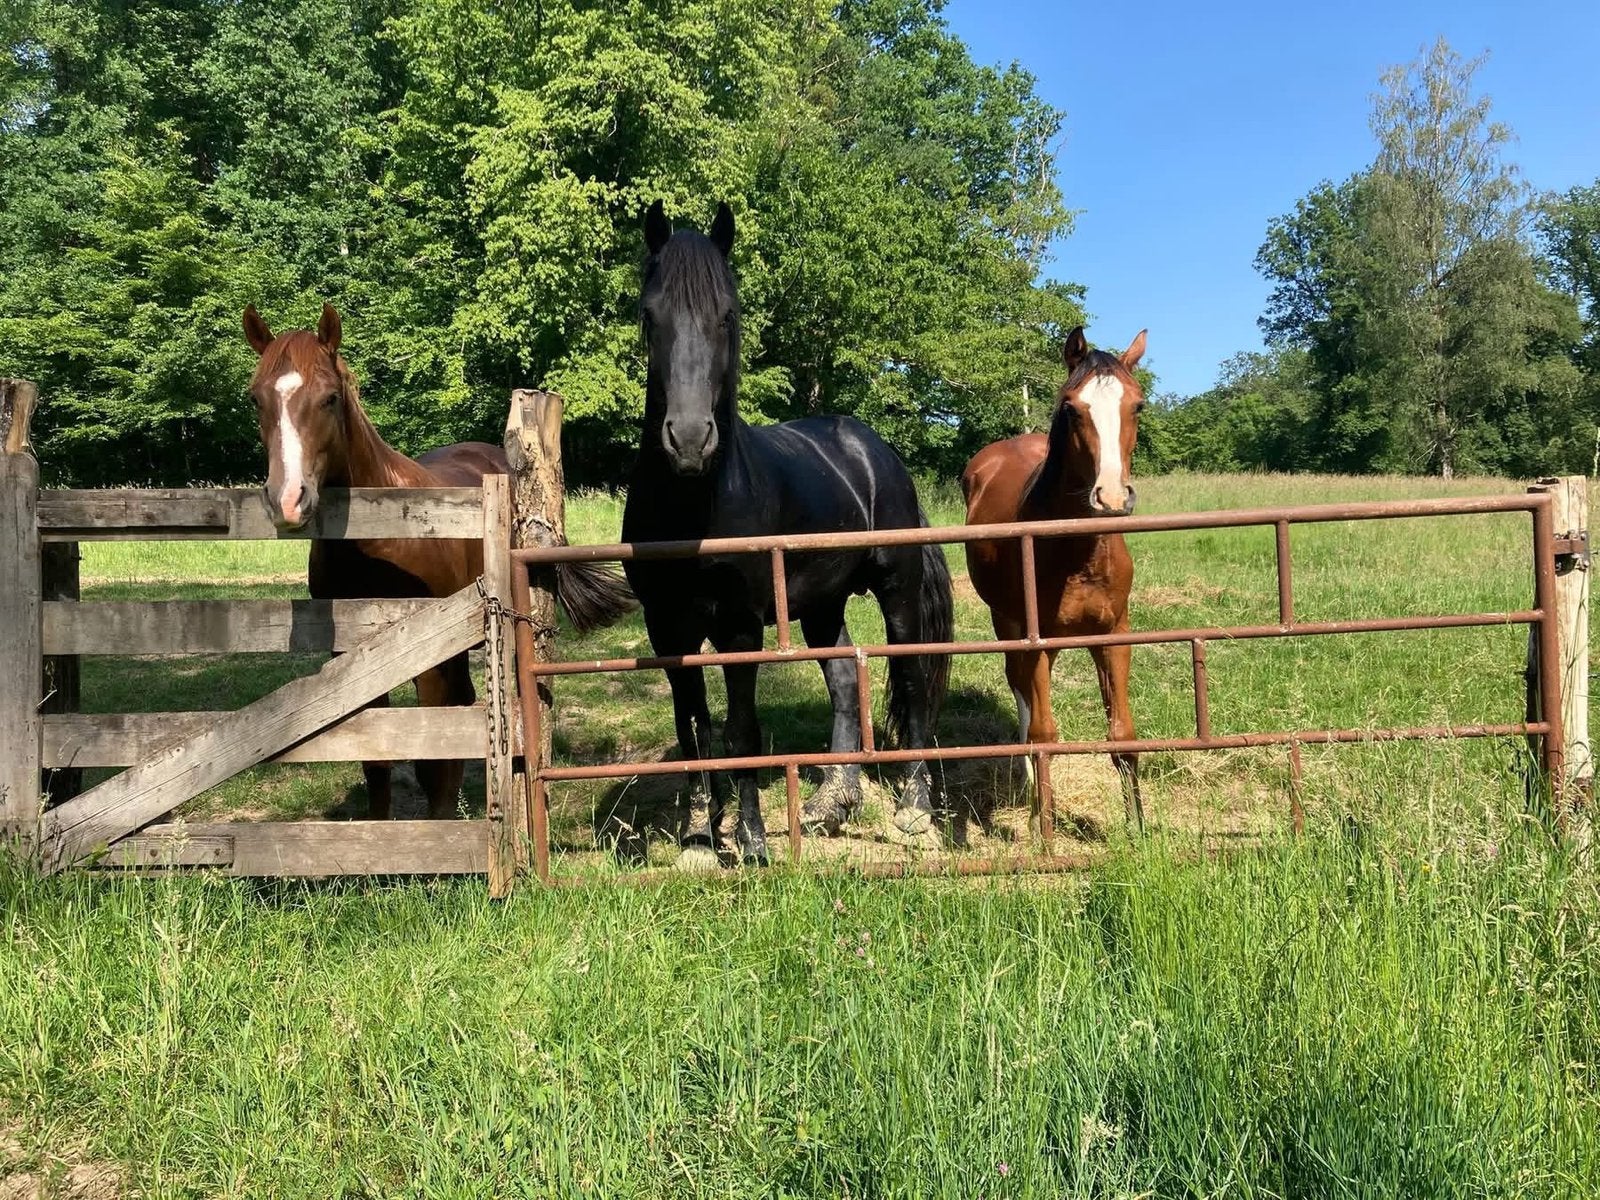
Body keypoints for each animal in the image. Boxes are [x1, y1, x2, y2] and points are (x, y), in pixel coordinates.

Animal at [241, 303, 634, 817]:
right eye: (256, 400)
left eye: (329, 398)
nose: (287, 500)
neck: (381, 541)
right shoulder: (351, 659)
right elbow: (376, 758)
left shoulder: (425, 658)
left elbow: (429, 753)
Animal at [624, 201, 954, 866]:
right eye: (650, 316)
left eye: (727, 314)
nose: (690, 440)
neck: (693, 508)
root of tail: (875, 450)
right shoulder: (667, 626)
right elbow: (691, 724)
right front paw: (698, 834)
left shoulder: (740, 626)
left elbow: (741, 729)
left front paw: (751, 842)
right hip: (824, 603)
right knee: (845, 678)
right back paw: (834, 801)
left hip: (897, 589)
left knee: (910, 677)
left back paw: (913, 810)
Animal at [961, 325, 1148, 828]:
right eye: (1071, 407)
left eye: (1138, 405)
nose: (1111, 496)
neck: (1077, 553)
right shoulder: (1034, 638)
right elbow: (1044, 730)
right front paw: (1042, 827)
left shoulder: (1113, 634)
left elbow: (1122, 734)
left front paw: (1139, 827)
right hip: (1008, 624)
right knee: (1022, 694)